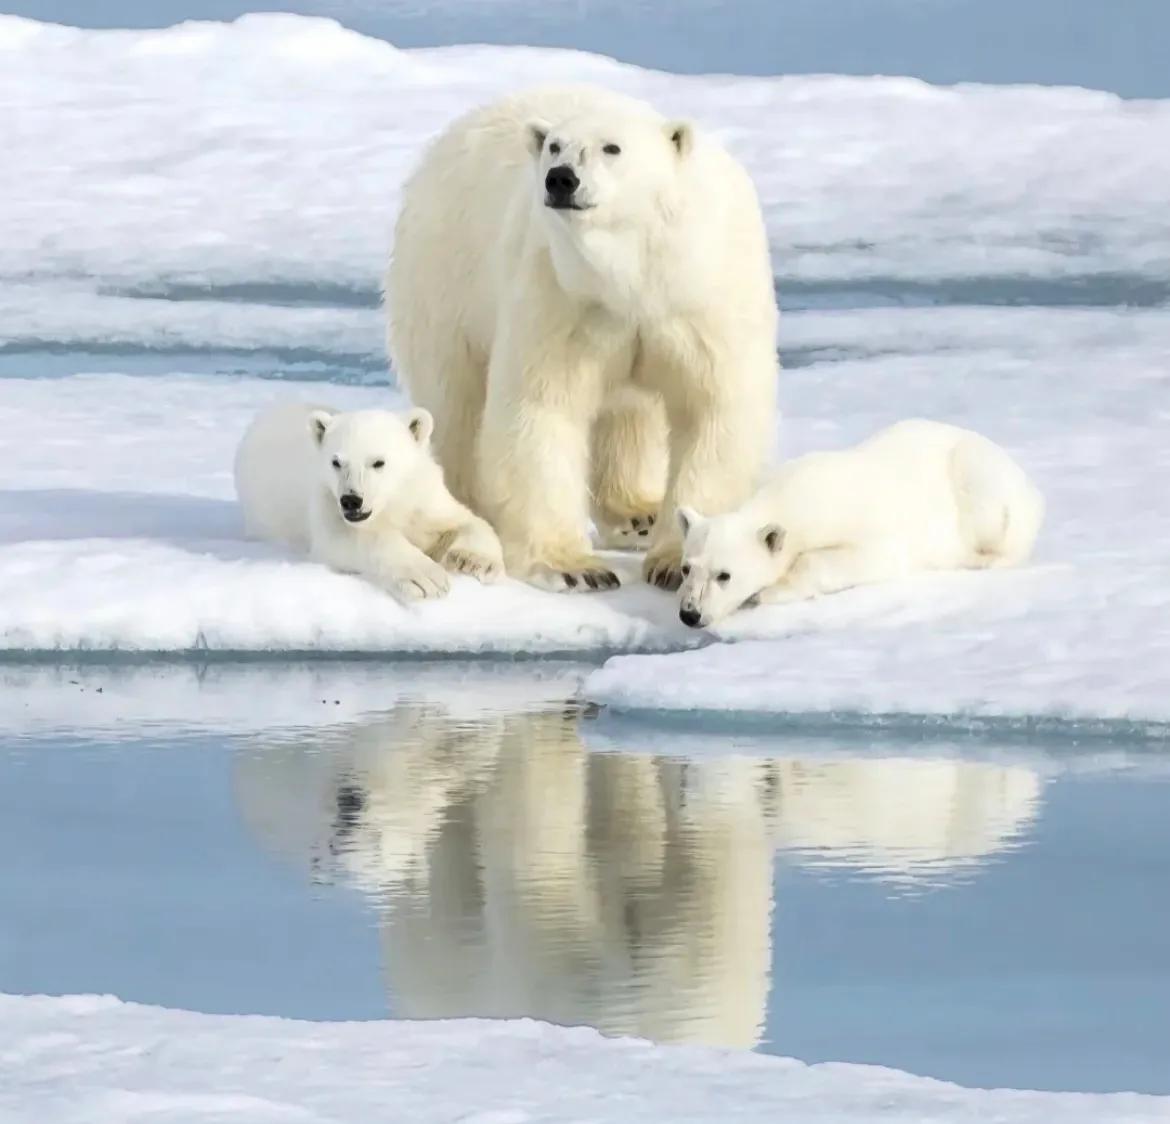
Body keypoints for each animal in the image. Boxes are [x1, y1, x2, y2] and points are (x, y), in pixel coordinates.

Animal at [388, 86, 781, 591]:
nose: (561, 179)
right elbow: (541, 408)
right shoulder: (561, 294)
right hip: (446, 281)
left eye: (612, 148)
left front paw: (675, 562)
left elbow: (711, 409)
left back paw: (637, 513)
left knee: (630, 414)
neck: (634, 276)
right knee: (459, 407)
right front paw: (575, 568)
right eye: (555, 146)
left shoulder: (701, 300)